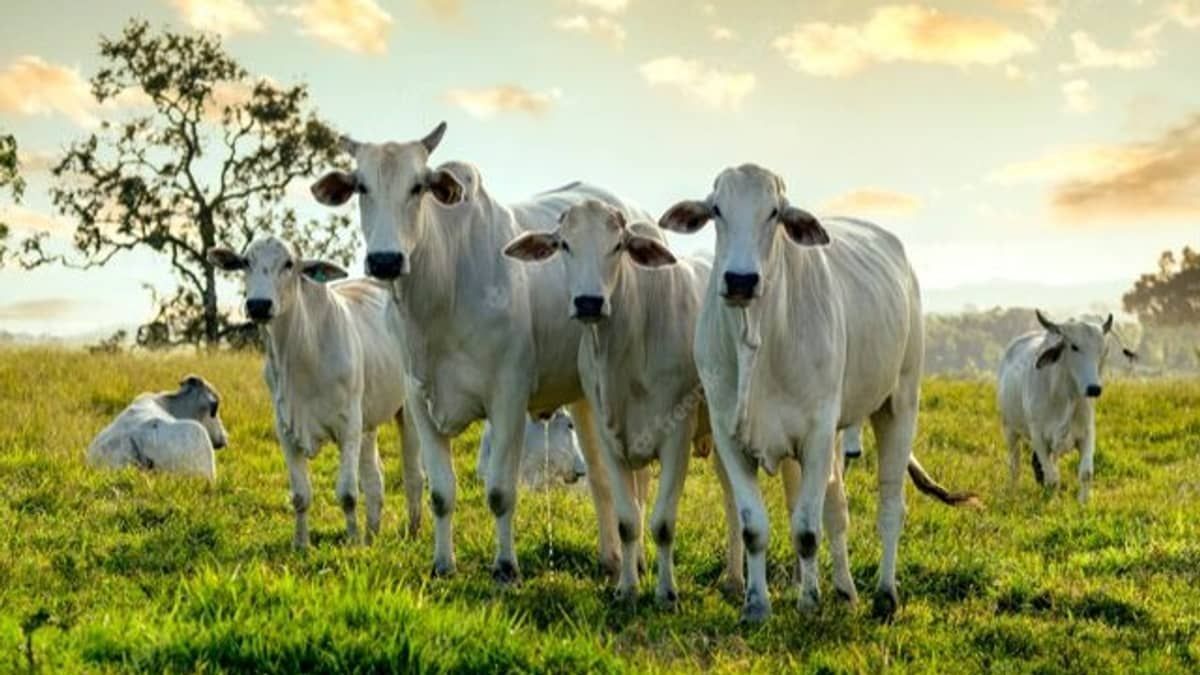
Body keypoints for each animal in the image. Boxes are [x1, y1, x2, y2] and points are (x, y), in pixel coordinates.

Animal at [207, 237, 424, 548]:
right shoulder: (286, 429)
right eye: (246, 262)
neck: (301, 352)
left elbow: (347, 493)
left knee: (413, 475)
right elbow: (300, 496)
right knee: (374, 478)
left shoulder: (348, 426)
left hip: (406, 411)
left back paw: (412, 531)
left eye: (289, 264)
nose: (259, 305)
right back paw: (371, 534)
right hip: (368, 422)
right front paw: (301, 544)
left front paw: (353, 544)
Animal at [310, 122, 651, 582]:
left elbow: (500, 493)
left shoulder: (508, 398)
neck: (441, 293)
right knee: (600, 478)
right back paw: (610, 559)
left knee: (637, 484)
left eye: (418, 186)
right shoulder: (418, 400)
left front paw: (506, 567)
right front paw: (442, 564)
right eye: (361, 186)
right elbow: (440, 493)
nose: (385, 260)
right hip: (584, 395)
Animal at [504, 200, 734, 608]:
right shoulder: (610, 440)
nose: (589, 302)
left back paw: (738, 580)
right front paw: (626, 588)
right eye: (564, 244)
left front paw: (666, 594)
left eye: (618, 246)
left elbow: (663, 523)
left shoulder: (677, 439)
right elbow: (628, 521)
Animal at [659, 164, 976, 622]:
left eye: (774, 212)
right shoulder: (729, 437)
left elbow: (806, 531)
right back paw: (845, 590)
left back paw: (885, 595)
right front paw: (757, 604)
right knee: (837, 510)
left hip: (899, 402)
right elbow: (755, 527)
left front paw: (809, 602)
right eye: (717, 210)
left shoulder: (816, 435)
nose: (740, 280)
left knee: (889, 507)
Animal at [997, 310, 1130, 503]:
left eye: (1102, 351)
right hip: (1010, 430)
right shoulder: (1038, 437)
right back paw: (1013, 493)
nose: (1094, 388)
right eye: (1074, 347)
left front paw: (1083, 503)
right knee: (1015, 466)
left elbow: (1085, 473)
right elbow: (1052, 479)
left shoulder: (1087, 433)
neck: (1065, 396)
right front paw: (1053, 503)